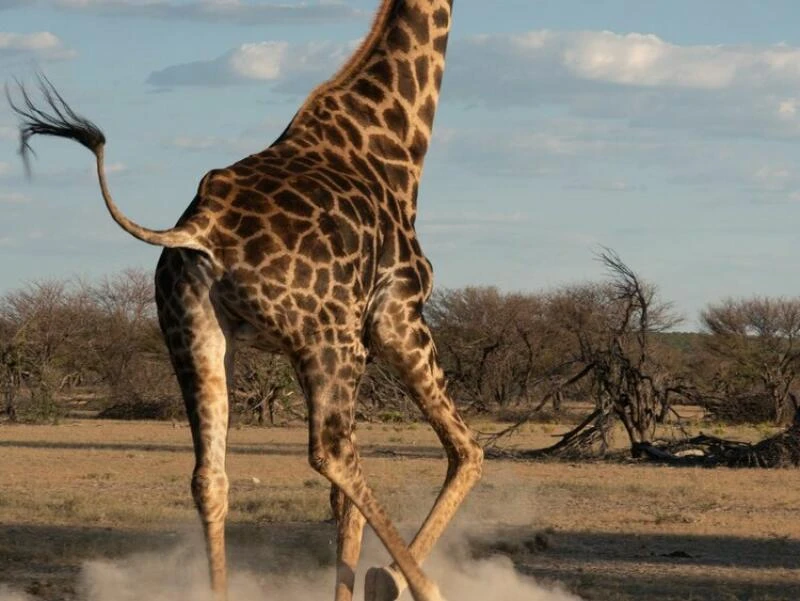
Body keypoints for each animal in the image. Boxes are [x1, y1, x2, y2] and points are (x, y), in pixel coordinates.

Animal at [9, 1, 482, 600]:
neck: (393, 141)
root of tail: (199, 228)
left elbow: (344, 505)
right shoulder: (397, 315)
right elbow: (466, 452)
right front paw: (390, 580)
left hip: (194, 335)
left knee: (210, 478)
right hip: (329, 341)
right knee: (335, 451)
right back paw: (423, 584)